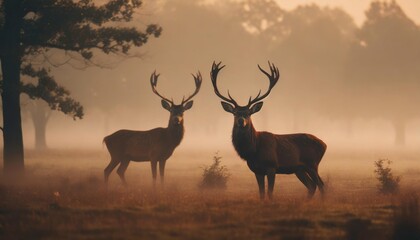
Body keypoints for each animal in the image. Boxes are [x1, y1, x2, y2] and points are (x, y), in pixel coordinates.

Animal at [212, 61, 326, 200]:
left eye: (248, 113)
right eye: (235, 113)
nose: (241, 121)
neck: (254, 150)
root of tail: (324, 144)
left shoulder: (272, 166)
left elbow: (270, 192)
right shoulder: (257, 170)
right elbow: (261, 193)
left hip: (312, 163)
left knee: (321, 184)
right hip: (299, 169)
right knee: (312, 186)